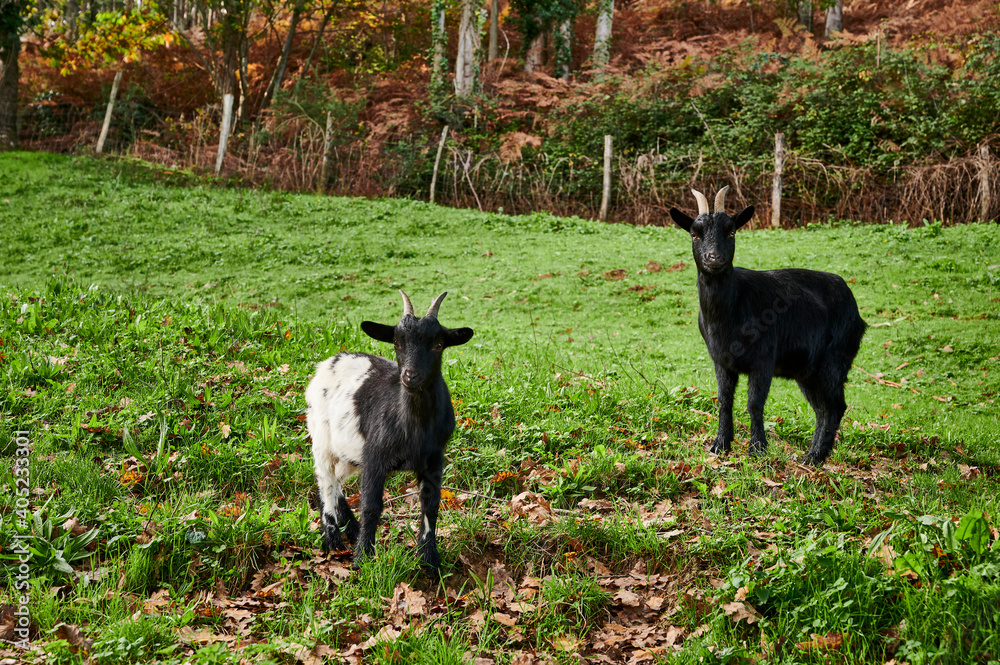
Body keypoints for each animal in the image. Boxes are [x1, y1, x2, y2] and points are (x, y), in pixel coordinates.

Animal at [305, 291, 474, 570]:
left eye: (439, 344)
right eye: (396, 342)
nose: (410, 376)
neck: (415, 428)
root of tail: (330, 361)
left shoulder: (434, 458)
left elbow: (430, 505)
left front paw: (430, 559)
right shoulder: (375, 454)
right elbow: (371, 505)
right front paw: (362, 559)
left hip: (350, 451)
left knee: (337, 478)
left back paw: (351, 526)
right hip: (321, 435)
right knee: (325, 478)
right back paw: (332, 537)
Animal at [669, 187, 866, 465]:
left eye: (731, 232)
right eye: (694, 233)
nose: (714, 258)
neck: (731, 310)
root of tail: (856, 310)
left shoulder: (763, 359)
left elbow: (754, 403)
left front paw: (758, 448)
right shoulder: (721, 360)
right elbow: (724, 400)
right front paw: (720, 445)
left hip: (834, 360)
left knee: (835, 406)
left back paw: (815, 457)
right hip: (808, 371)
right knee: (822, 409)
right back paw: (811, 456)